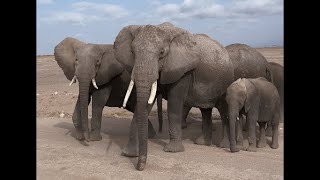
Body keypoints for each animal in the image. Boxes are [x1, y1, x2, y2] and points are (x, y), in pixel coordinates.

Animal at [114, 22, 234, 170]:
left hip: (225, 82)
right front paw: (129, 154)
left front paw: (173, 150)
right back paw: (202, 143)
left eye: (161, 53)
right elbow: (144, 105)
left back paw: (224, 145)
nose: (140, 167)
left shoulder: (183, 70)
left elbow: (174, 104)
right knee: (205, 109)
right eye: (133, 52)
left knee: (223, 111)